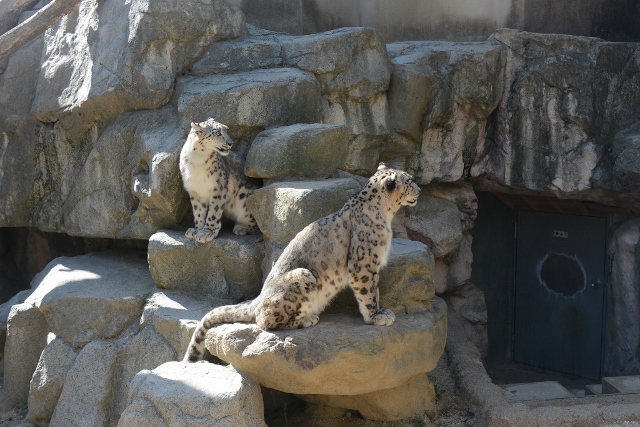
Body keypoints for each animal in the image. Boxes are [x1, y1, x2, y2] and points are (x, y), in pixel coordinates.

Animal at [182, 162, 422, 362]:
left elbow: (374, 292)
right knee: (264, 320)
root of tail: (259, 297)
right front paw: (376, 316)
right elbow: (369, 293)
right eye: (409, 181)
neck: (386, 216)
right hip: (302, 276)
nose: (420, 190)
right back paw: (307, 319)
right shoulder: (363, 265)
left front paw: (380, 312)